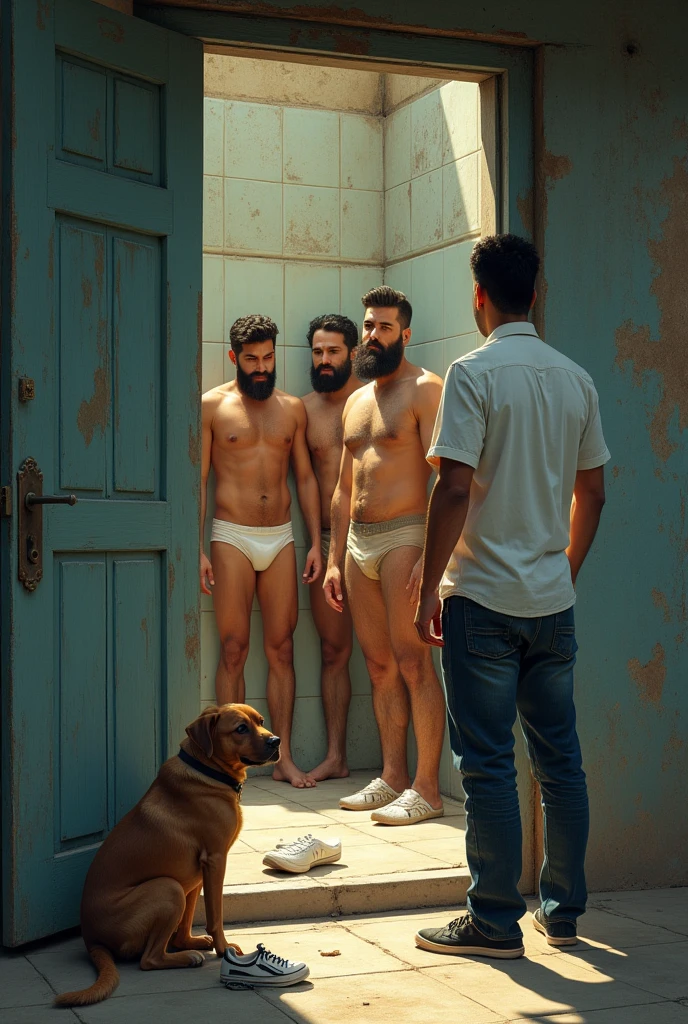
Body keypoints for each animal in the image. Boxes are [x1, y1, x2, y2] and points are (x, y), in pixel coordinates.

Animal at [54, 704, 278, 1007]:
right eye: (241, 728)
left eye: (261, 721)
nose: (276, 741)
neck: (207, 770)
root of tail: (92, 941)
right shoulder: (216, 860)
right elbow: (215, 916)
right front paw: (223, 950)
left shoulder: (199, 874)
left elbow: (189, 919)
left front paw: (194, 941)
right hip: (168, 888)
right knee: (149, 960)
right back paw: (186, 958)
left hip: (181, 887)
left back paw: (188, 948)